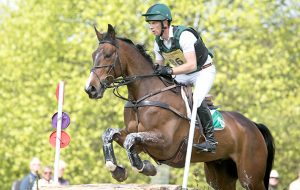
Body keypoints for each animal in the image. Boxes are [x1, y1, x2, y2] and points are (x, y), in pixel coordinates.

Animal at [84, 24, 274, 190]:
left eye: (108, 54)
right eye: (93, 55)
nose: (90, 89)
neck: (143, 97)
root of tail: (253, 125)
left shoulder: (165, 142)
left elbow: (131, 140)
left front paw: (146, 168)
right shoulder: (137, 139)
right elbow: (110, 134)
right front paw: (117, 170)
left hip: (250, 176)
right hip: (219, 173)